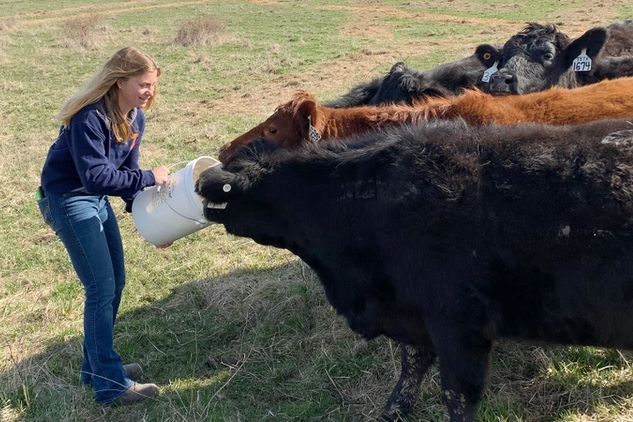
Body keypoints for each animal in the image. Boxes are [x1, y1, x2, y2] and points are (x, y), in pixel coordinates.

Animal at [198, 116, 633, 422]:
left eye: (232, 187)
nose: (202, 188)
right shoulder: (415, 312)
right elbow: (412, 365)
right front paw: (392, 412)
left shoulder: (459, 323)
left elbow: (457, 394)